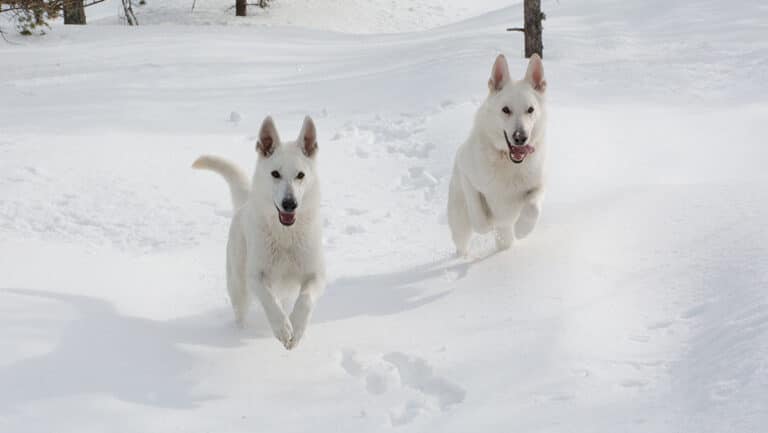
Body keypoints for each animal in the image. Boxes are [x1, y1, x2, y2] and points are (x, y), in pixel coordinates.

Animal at [194, 115, 326, 348]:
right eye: (275, 174)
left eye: (300, 175)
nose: (289, 204)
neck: (285, 236)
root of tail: (245, 203)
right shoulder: (255, 275)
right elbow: (269, 300)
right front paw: (282, 328)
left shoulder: (316, 274)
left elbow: (305, 299)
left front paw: (296, 328)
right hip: (238, 285)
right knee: (241, 311)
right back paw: (237, 333)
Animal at [448, 55, 548, 255]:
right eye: (506, 109)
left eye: (530, 110)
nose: (520, 138)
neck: (507, 161)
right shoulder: (465, 170)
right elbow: (478, 215)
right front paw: (486, 223)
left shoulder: (538, 185)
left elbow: (533, 208)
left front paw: (522, 230)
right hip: (460, 226)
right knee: (462, 245)